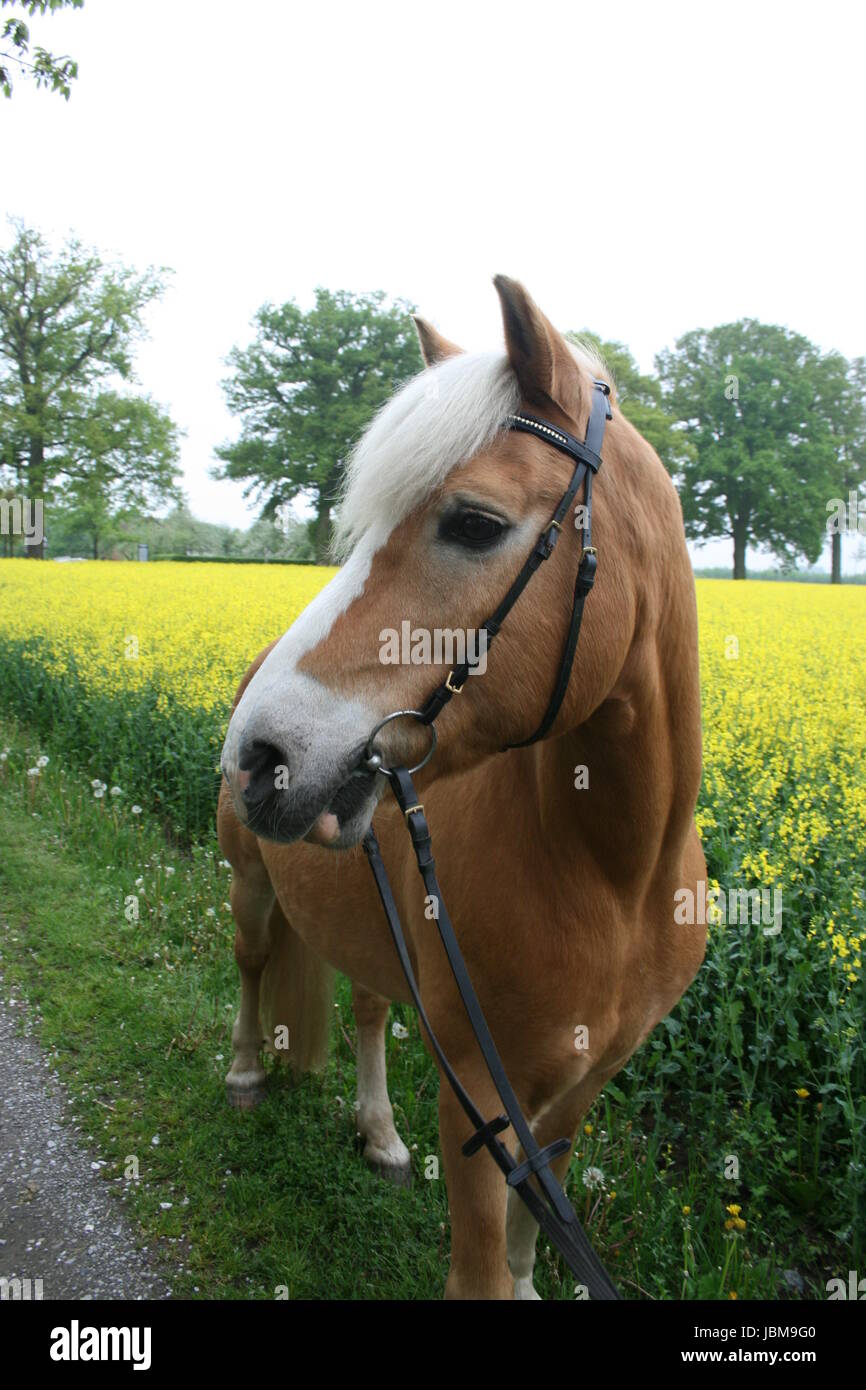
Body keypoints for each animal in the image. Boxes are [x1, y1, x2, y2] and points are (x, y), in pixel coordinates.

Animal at [218, 273, 711, 1301]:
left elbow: (530, 1241)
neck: (617, 878)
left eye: (474, 524)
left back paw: (378, 1133)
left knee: (369, 1007)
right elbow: (482, 1271)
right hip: (248, 886)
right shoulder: (480, 1102)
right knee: (249, 965)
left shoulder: (574, 1093)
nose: (257, 754)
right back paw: (245, 1073)